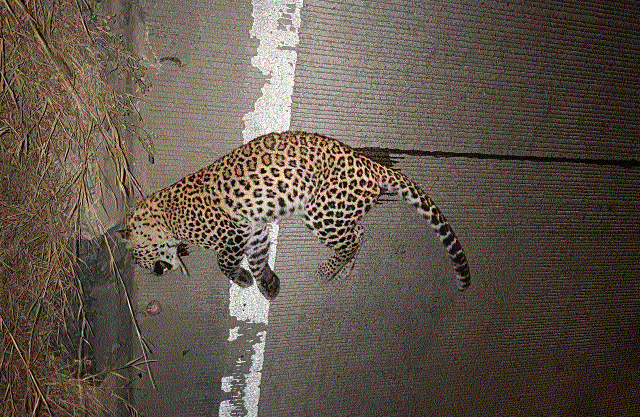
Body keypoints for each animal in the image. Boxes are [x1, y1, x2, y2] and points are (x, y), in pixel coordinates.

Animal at [118, 131, 470, 300]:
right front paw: (267, 283)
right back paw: (343, 271)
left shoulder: (234, 233)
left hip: (321, 212)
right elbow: (258, 258)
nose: (155, 274)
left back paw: (327, 271)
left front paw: (242, 278)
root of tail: (371, 165)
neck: (166, 218)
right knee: (359, 234)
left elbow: (224, 262)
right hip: (339, 213)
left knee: (352, 240)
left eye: (138, 259)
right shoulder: (255, 230)